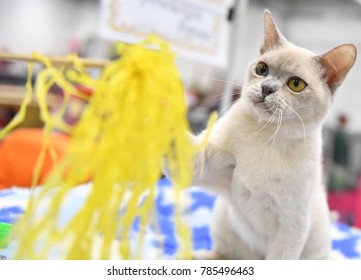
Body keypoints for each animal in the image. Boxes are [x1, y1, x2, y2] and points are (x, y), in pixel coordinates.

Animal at [187, 10, 356, 260]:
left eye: (296, 84)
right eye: (262, 69)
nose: (266, 88)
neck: (267, 134)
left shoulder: (291, 226)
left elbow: (279, 258)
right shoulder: (208, 168)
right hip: (222, 216)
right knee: (224, 254)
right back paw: (192, 256)